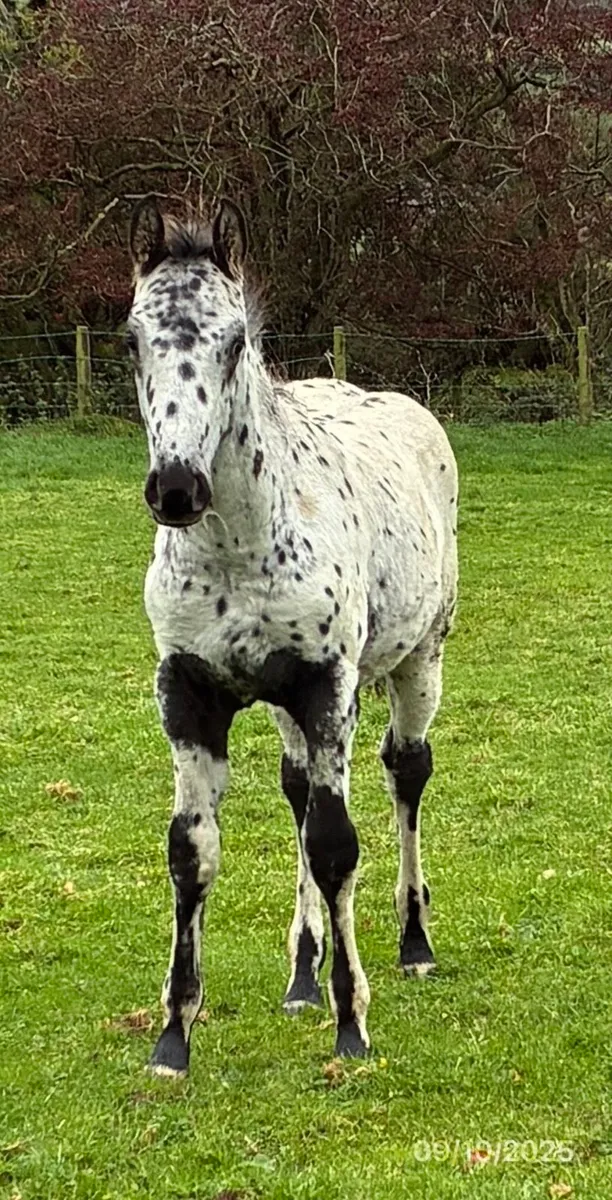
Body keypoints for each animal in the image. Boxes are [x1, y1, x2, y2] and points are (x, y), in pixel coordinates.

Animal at [126, 196, 458, 1076]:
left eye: (235, 339)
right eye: (132, 338)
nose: (177, 489)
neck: (240, 547)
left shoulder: (325, 685)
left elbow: (337, 845)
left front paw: (352, 1023)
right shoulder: (190, 692)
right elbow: (192, 851)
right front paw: (174, 1033)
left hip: (420, 661)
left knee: (406, 772)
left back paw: (414, 944)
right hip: (285, 705)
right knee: (300, 792)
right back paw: (303, 974)